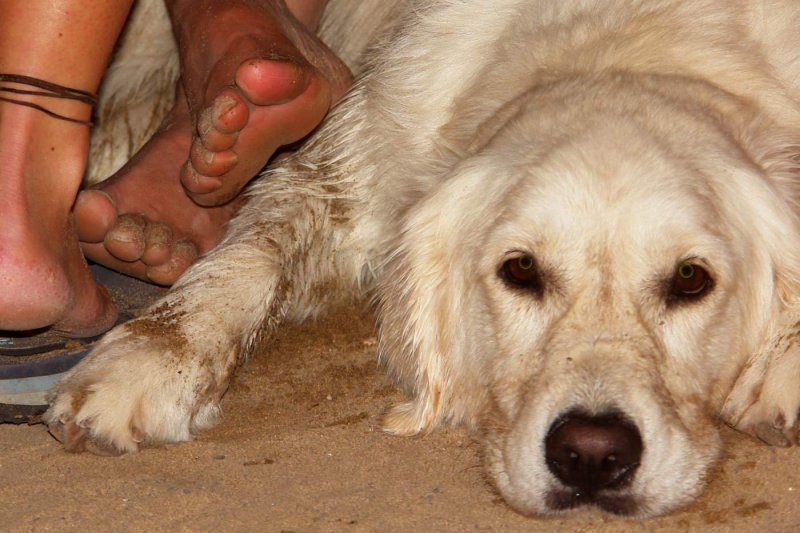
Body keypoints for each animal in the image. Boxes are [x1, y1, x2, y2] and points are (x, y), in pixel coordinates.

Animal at [45, 0, 800, 516]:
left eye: (691, 279)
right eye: (520, 270)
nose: (591, 455)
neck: (632, 43)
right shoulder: (351, 166)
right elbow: (252, 255)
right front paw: (146, 359)